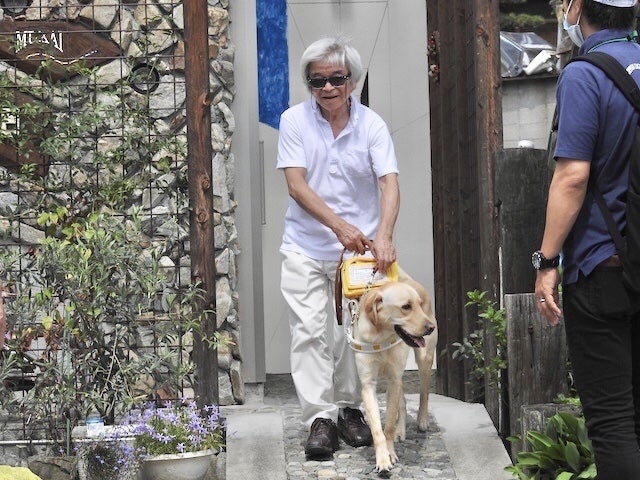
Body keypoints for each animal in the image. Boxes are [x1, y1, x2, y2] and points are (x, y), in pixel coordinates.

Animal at [350, 268, 437, 476]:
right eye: (406, 307)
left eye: (419, 305)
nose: (430, 328)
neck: (381, 336)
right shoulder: (369, 384)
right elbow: (377, 430)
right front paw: (382, 459)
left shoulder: (394, 378)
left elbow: (388, 425)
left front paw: (390, 454)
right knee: (402, 401)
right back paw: (401, 430)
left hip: (424, 359)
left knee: (424, 393)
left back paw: (422, 420)